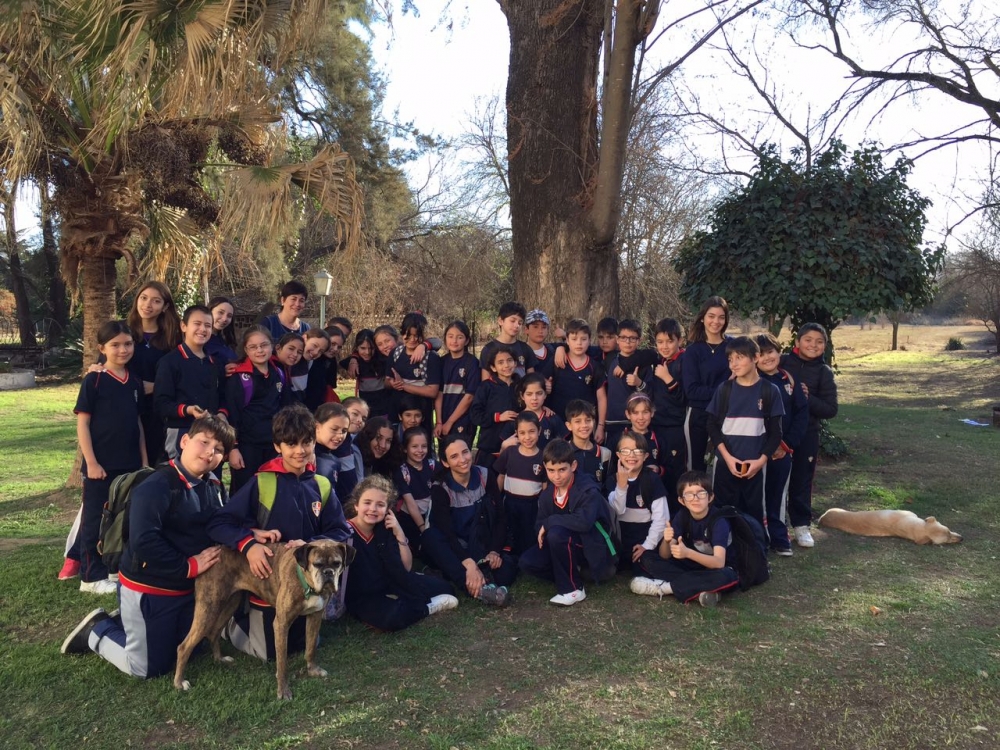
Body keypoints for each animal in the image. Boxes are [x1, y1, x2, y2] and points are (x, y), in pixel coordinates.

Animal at [173, 540, 355, 700]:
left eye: (337, 564)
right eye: (317, 564)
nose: (328, 573)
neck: (306, 582)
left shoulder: (315, 617)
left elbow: (310, 649)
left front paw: (313, 670)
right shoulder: (281, 624)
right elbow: (282, 663)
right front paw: (283, 690)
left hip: (230, 603)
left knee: (214, 633)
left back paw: (220, 659)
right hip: (208, 608)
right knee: (184, 646)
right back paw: (179, 682)